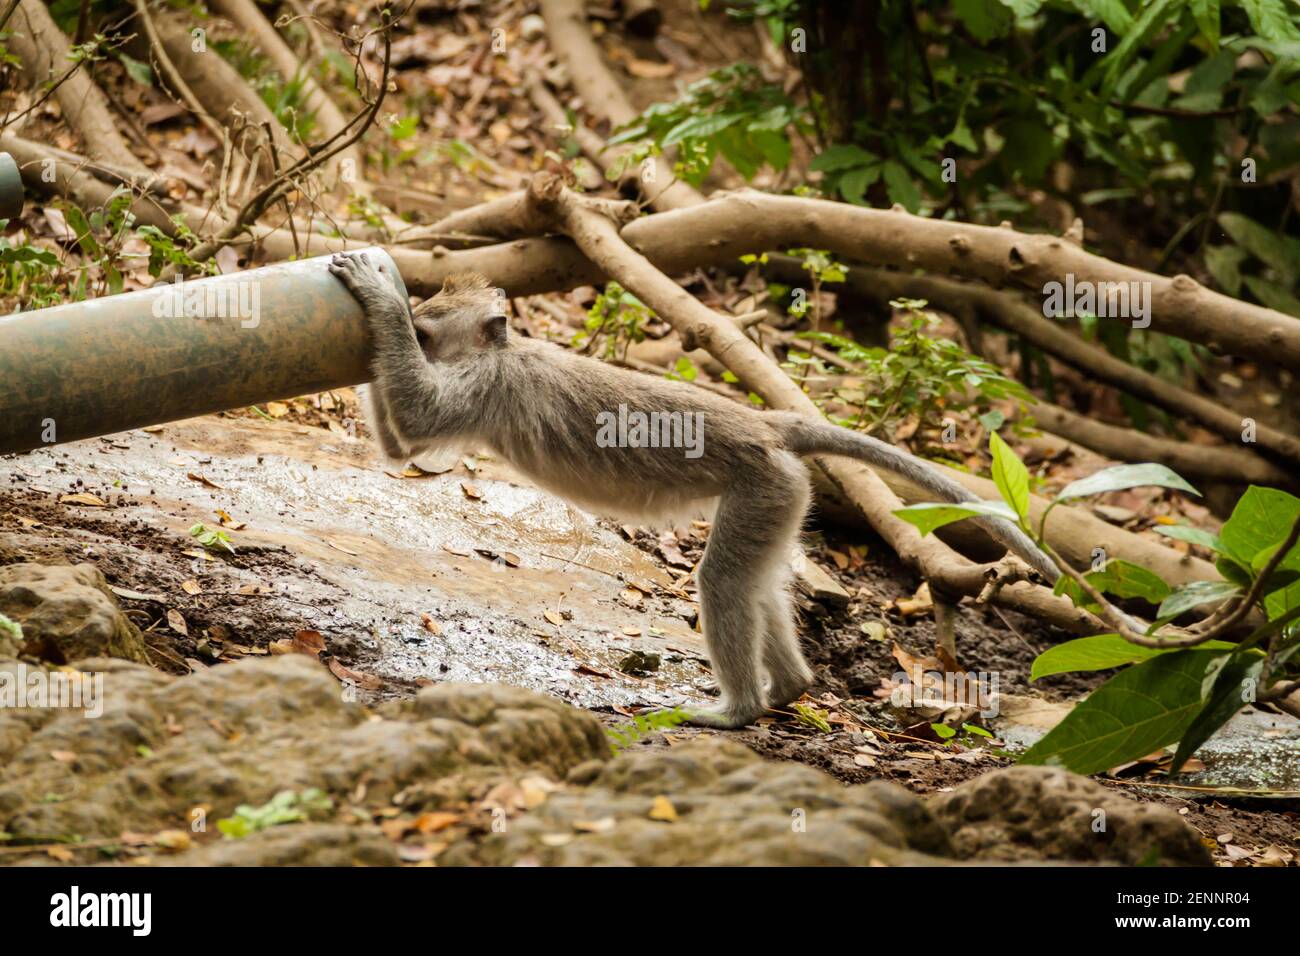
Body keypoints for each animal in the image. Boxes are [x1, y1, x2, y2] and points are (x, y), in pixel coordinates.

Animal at [328, 251, 1058, 729]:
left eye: (425, 332)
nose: (413, 323)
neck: (499, 353)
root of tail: (767, 423)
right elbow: (399, 446)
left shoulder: (483, 388)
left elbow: (416, 419)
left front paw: (380, 300)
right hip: (782, 496)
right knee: (759, 582)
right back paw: (789, 687)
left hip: (762, 487)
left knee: (724, 581)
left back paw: (738, 711)